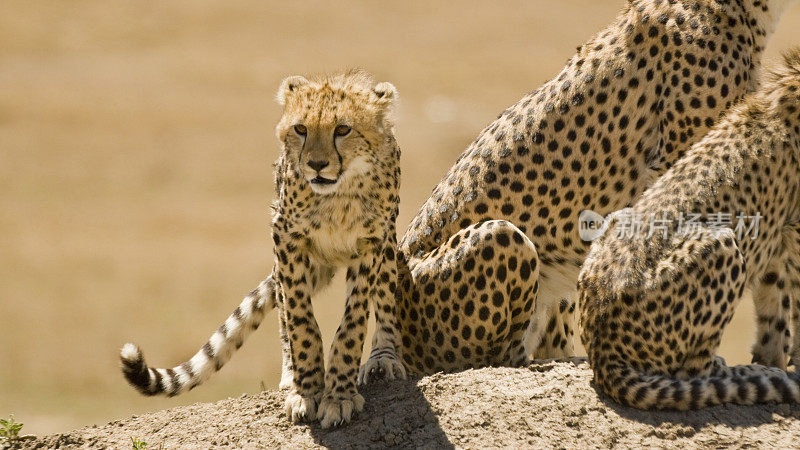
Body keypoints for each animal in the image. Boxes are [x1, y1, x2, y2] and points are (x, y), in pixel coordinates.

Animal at [122, 70, 406, 428]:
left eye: (343, 129)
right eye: (301, 129)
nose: (316, 164)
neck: (337, 195)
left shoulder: (371, 244)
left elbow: (352, 324)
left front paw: (339, 395)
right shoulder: (286, 238)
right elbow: (300, 320)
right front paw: (307, 391)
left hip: (387, 247)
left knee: (384, 300)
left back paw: (384, 357)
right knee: (284, 312)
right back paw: (290, 374)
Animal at [580, 50, 800, 412]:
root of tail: (601, 353)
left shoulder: (779, 239)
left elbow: (776, 312)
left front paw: (775, 361)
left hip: (615, 219)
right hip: (721, 243)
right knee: (691, 372)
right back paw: (739, 373)